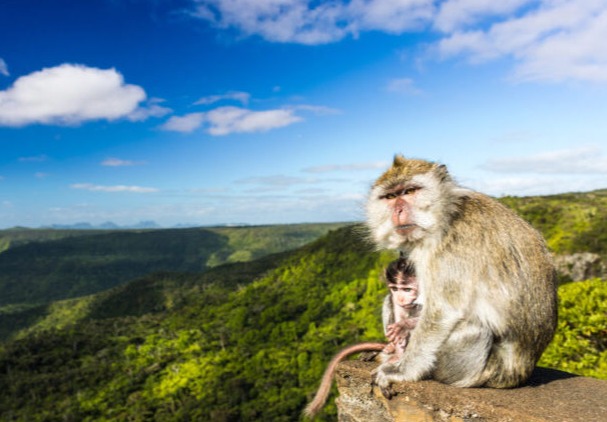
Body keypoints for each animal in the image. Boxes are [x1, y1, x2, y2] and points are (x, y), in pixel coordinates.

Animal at [368, 155, 560, 398]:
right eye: (391, 197)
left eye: (410, 191)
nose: (398, 211)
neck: (447, 215)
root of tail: (520, 374)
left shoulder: (452, 248)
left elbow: (442, 311)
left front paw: (401, 371)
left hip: (478, 373)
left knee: (474, 328)